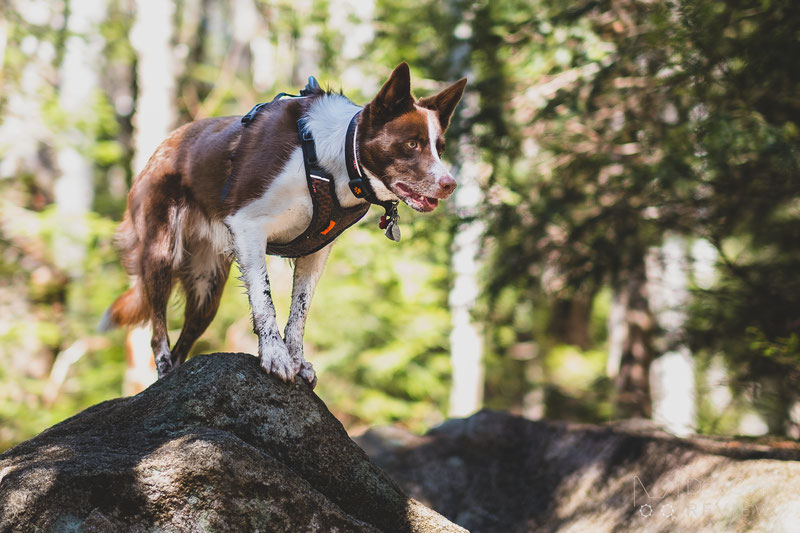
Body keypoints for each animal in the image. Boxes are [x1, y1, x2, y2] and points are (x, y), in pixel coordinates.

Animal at [99, 63, 466, 386]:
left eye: (439, 148)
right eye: (411, 144)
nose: (450, 184)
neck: (332, 159)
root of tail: (158, 153)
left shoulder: (316, 251)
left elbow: (299, 312)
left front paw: (297, 360)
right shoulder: (249, 228)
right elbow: (265, 299)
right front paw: (275, 356)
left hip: (207, 288)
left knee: (184, 343)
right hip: (162, 252)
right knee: (157, 329)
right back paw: (162, 370)